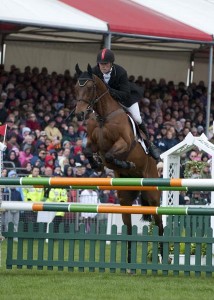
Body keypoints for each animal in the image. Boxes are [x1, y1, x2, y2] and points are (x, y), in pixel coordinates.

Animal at [74, 63, 163, 262]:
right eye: (76, 86)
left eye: (89, 87)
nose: (80, 113)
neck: (103, 116)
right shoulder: (93, 143)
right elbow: (88, 151)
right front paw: (97, 165)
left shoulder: (124, 143)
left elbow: (110, 155)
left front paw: (124, 164)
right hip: (125, 199)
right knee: (128, 226)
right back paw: (129, 260)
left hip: (153, 194)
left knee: (160, 224)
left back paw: (164, 256)